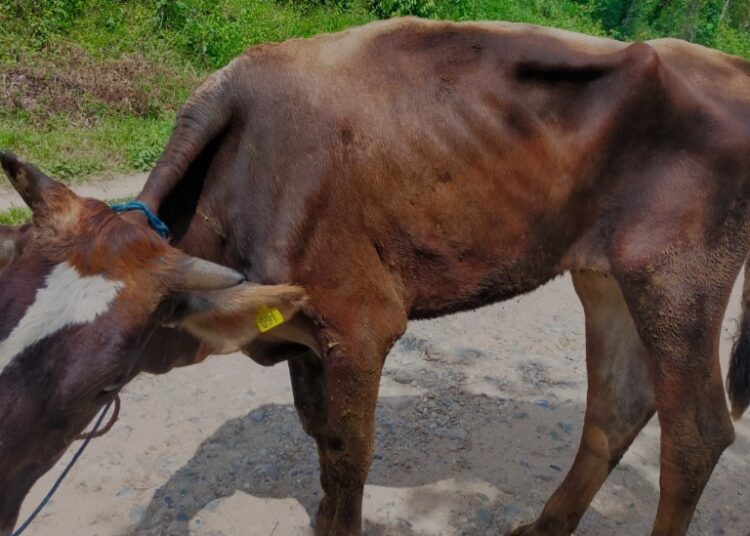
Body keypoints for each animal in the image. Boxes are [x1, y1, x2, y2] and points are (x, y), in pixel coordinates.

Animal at [1, 16, 750, 536]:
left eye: (103, 385)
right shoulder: (304, 335)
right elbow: (319, 434)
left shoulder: (360, 324)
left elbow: (347, 452)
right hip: (604, 274)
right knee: (618, 404)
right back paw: (544, 526)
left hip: (675, 275)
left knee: (697, 433)